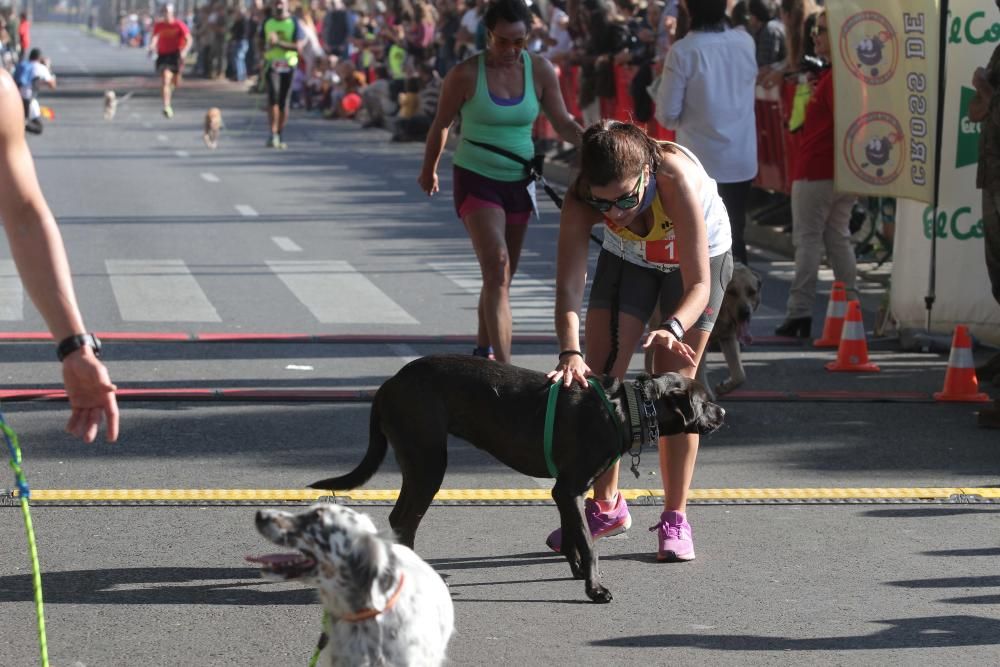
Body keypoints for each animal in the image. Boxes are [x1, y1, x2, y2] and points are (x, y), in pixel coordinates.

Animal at [308, 354, 724, 604]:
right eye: (704, 400)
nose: (722, 412)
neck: (628, 408)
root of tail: (389, 384)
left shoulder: (564, 492)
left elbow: (573, 536)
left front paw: (577, 573)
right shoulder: (570, 488)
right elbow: (589, 543)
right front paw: (594, 588)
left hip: (419, 462)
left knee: (400, 519)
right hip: (428, 461)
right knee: (405, 520)